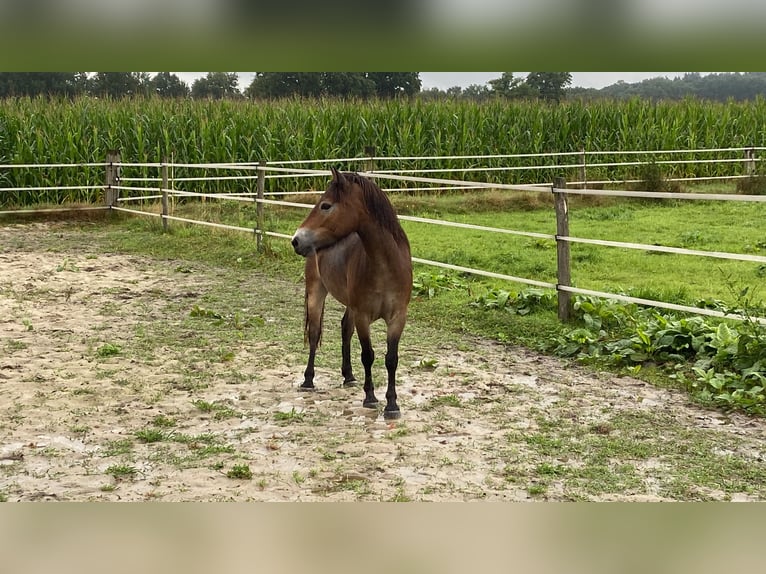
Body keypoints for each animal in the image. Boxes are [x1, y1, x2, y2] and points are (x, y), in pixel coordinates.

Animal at [292, 169, 414, 420]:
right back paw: (308, 380)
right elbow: (368, 355)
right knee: (314, 333)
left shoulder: (398, 317)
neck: (385, 266)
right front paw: (370, 397)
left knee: (345, 329)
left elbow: (391, 359)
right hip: (317, 292)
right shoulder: (363, 316)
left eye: (326, 205)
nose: (296, 240)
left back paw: (348, 376)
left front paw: (392, 405)